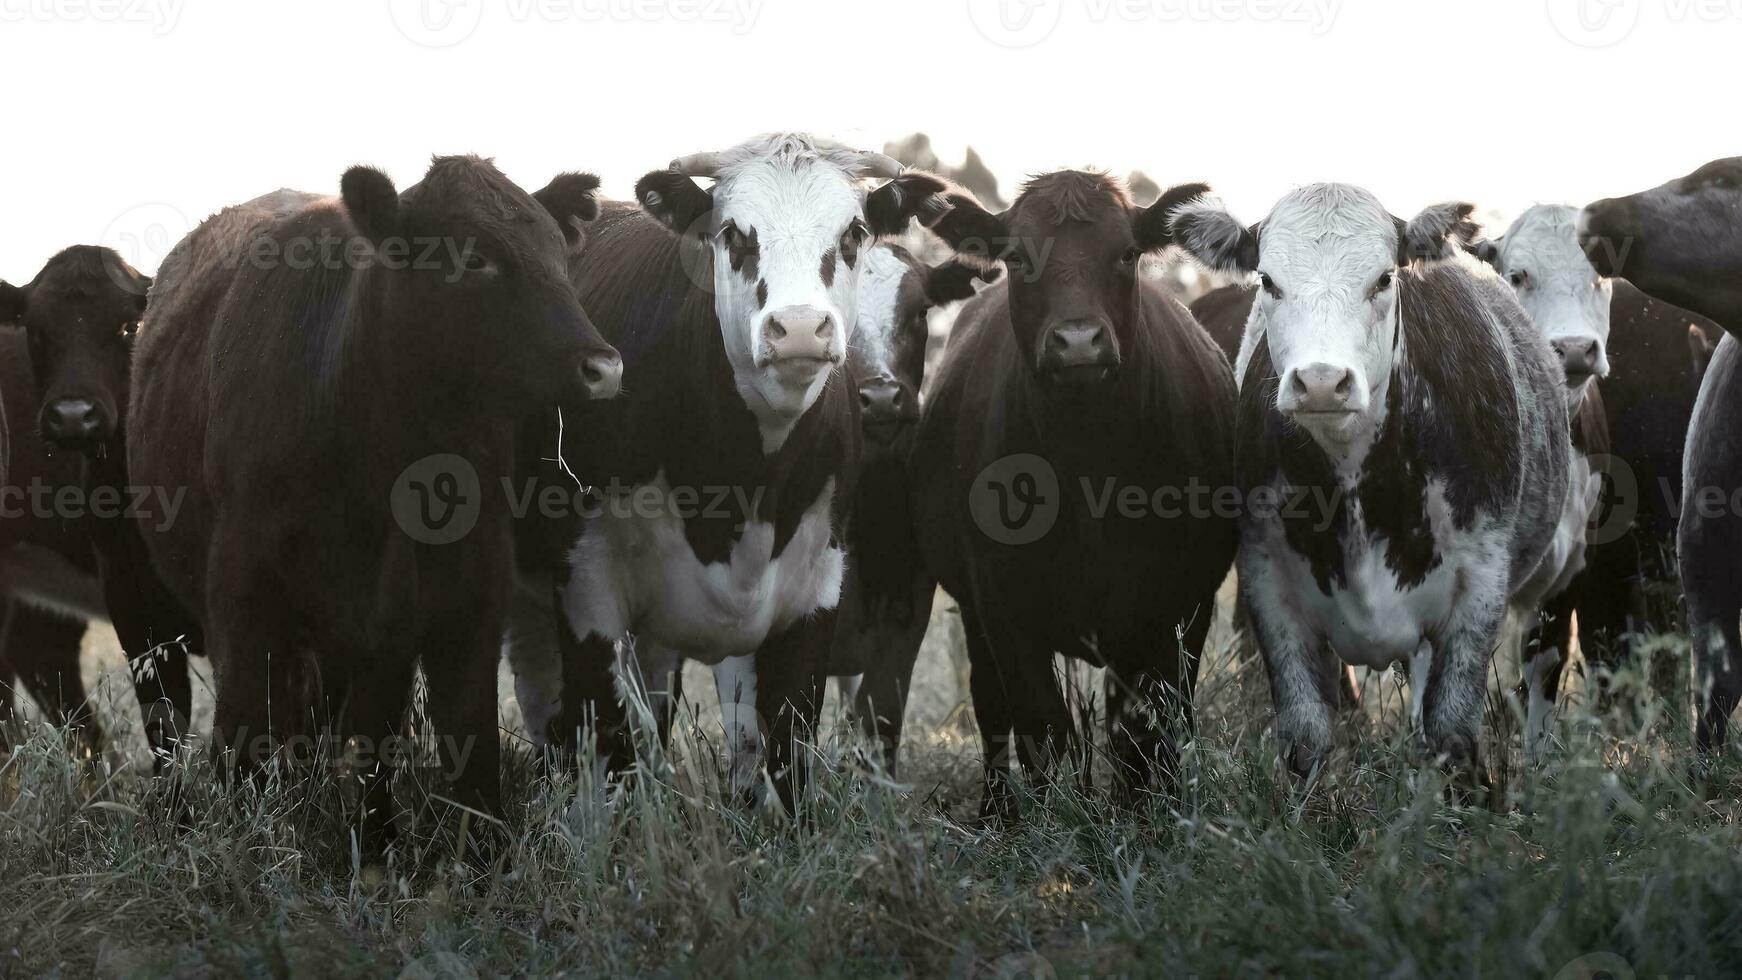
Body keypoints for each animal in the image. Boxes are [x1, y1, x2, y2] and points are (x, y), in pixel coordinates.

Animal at [130, 161, 620, 852]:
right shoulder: (242, 598)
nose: (604, 367)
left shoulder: (464, 603)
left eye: (558, 254)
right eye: (473, 258)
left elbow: (466, 747)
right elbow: (245, 738)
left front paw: (466, 857)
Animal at [508, 132, 961, 814]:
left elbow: (787, 754)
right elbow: (608, 755)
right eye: (731, 234)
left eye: (853, 232)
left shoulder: (813, 597)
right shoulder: (587, 595)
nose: (798, 328)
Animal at [912, 168, 1240, 814]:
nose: (1080, 340)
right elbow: (1041, 725)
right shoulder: (1001, 601)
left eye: (1128, 253)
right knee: (991, 708)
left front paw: (1150, 814)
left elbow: (1152, 725)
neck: (1087, 467)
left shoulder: (1182, 602)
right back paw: (997, 811)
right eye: (1017, 257)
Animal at [1177, 186, 1574, 783]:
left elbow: (1452, 732)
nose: (1321, 381)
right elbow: (1306, 735)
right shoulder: (1269, 586)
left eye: (1385, 278)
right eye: (1268, 280)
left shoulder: (1479, 591)